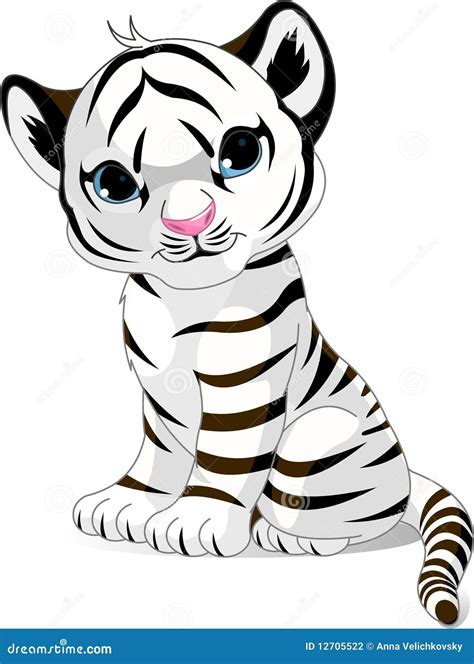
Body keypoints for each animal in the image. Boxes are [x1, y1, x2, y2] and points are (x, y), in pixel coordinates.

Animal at [1, 1, 471, 626]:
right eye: (115, 182)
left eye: (241, 151)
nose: (188, 221)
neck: (181, 299)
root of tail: (407, 475)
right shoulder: (158, 387)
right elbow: (162, 448)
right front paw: (129, 501)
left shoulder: (243, 381)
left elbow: (224, 455)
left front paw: (193, 519)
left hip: (319, 440)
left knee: (351, 516)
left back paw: (289, 535)